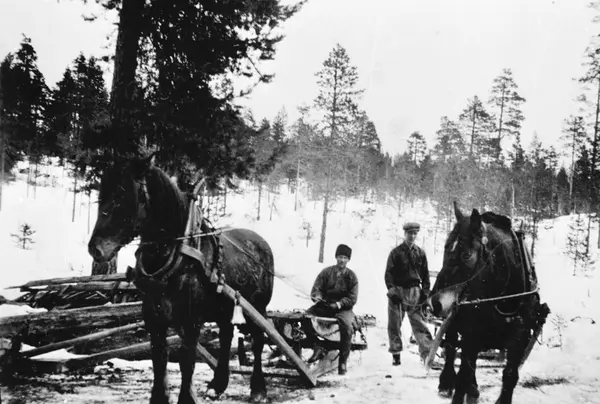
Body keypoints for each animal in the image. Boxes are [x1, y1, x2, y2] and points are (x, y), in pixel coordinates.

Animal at [88, 156, 274, 404]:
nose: (95, 249)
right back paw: (217, 385)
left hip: (257, 307)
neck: (175, 254)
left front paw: (186, 397)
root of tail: (261, 242)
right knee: (226, 336)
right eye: (101, 196)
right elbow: (159, 360)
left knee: (258, 341)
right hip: (225, 308)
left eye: (122, 196)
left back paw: (258, 389)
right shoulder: (154, 319)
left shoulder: (191, 321)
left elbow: (187, 362)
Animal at [427, 202, 549, 404]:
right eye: (445, 249)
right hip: (454, 321)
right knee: (451, 348)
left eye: (467, 255)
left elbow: (510, 375)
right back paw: (447, 382)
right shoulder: (471, 334)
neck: (503, 297)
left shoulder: (520, 337)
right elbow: (464, 374)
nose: (434, 303)